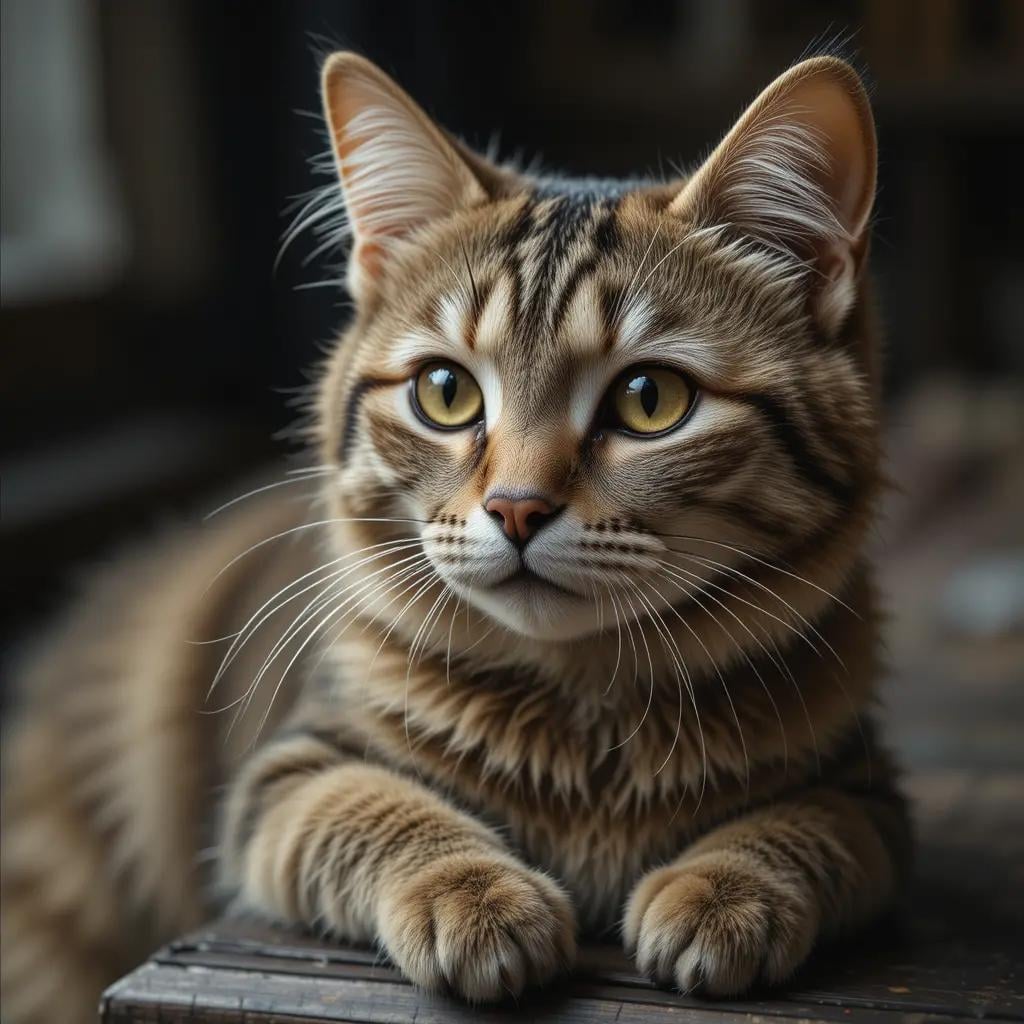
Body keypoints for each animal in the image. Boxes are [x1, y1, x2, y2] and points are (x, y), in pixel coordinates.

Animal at [2, 51, 913, 1019]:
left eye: (650, 401)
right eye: (445, 392)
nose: (516, 508)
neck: (580, 720)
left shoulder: (868, 792)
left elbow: (803, 827)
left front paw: (726, 890)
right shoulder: (288, 774)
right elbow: (378, 809)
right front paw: (473, 895)